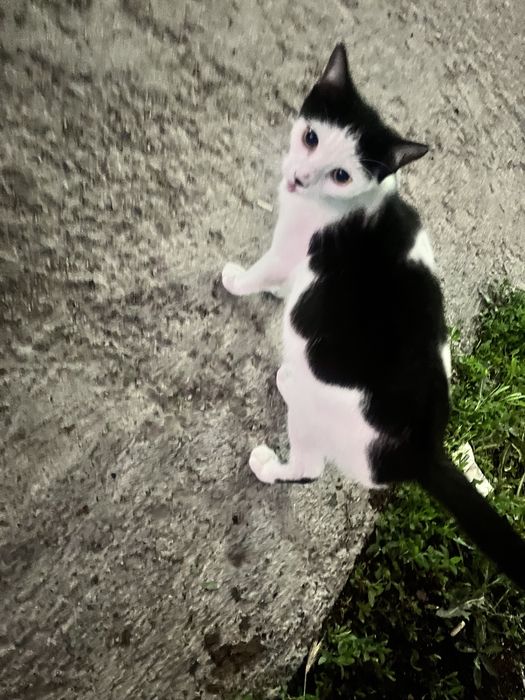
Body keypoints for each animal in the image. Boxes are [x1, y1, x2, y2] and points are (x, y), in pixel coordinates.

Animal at [222, 44, 525, 589]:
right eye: (311, 137)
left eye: (342, 175)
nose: (298, 178)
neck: (352, 205)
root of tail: (423, 448)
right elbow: (289, 285)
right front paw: (281, 293)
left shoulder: (290, 246)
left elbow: (263, 270)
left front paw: (238, 282)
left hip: (318, 421)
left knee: (308, 468)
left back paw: (271, 456)